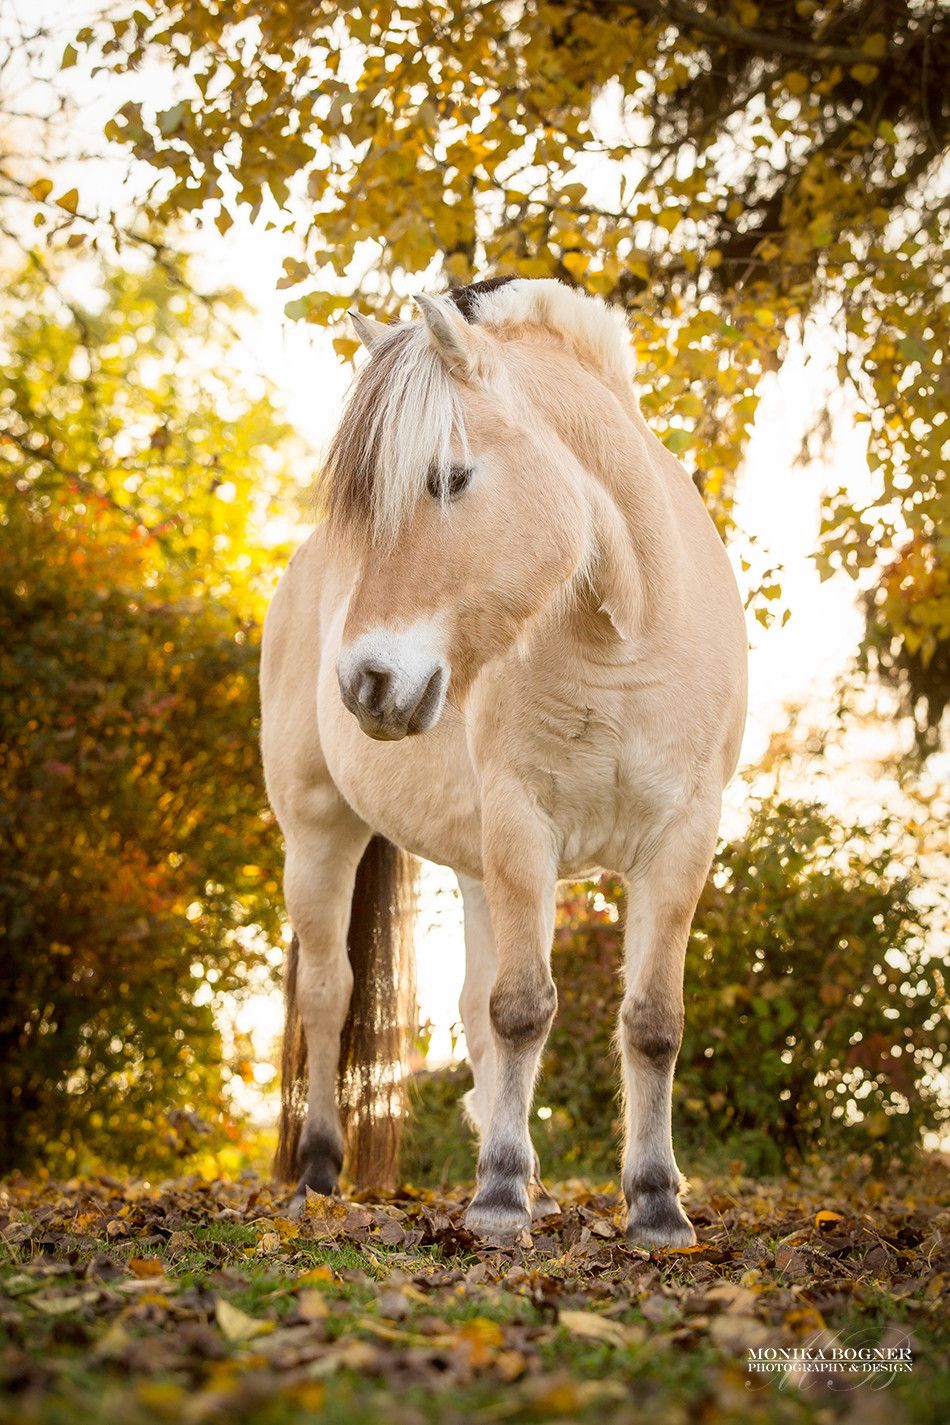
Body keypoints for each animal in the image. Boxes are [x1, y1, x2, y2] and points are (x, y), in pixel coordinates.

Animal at [262, 272, 752, 1242]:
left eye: (450, 477)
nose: (366, 683)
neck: (623, 634)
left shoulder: (682, 838)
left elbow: (651, 1021)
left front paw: (656, 1203)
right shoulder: (525, 823)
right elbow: (523, 1008)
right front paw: (495, 1197)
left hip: (476, 863)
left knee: (467, 1008)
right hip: (321, 831)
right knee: (332, 994)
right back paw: (321, 1172)